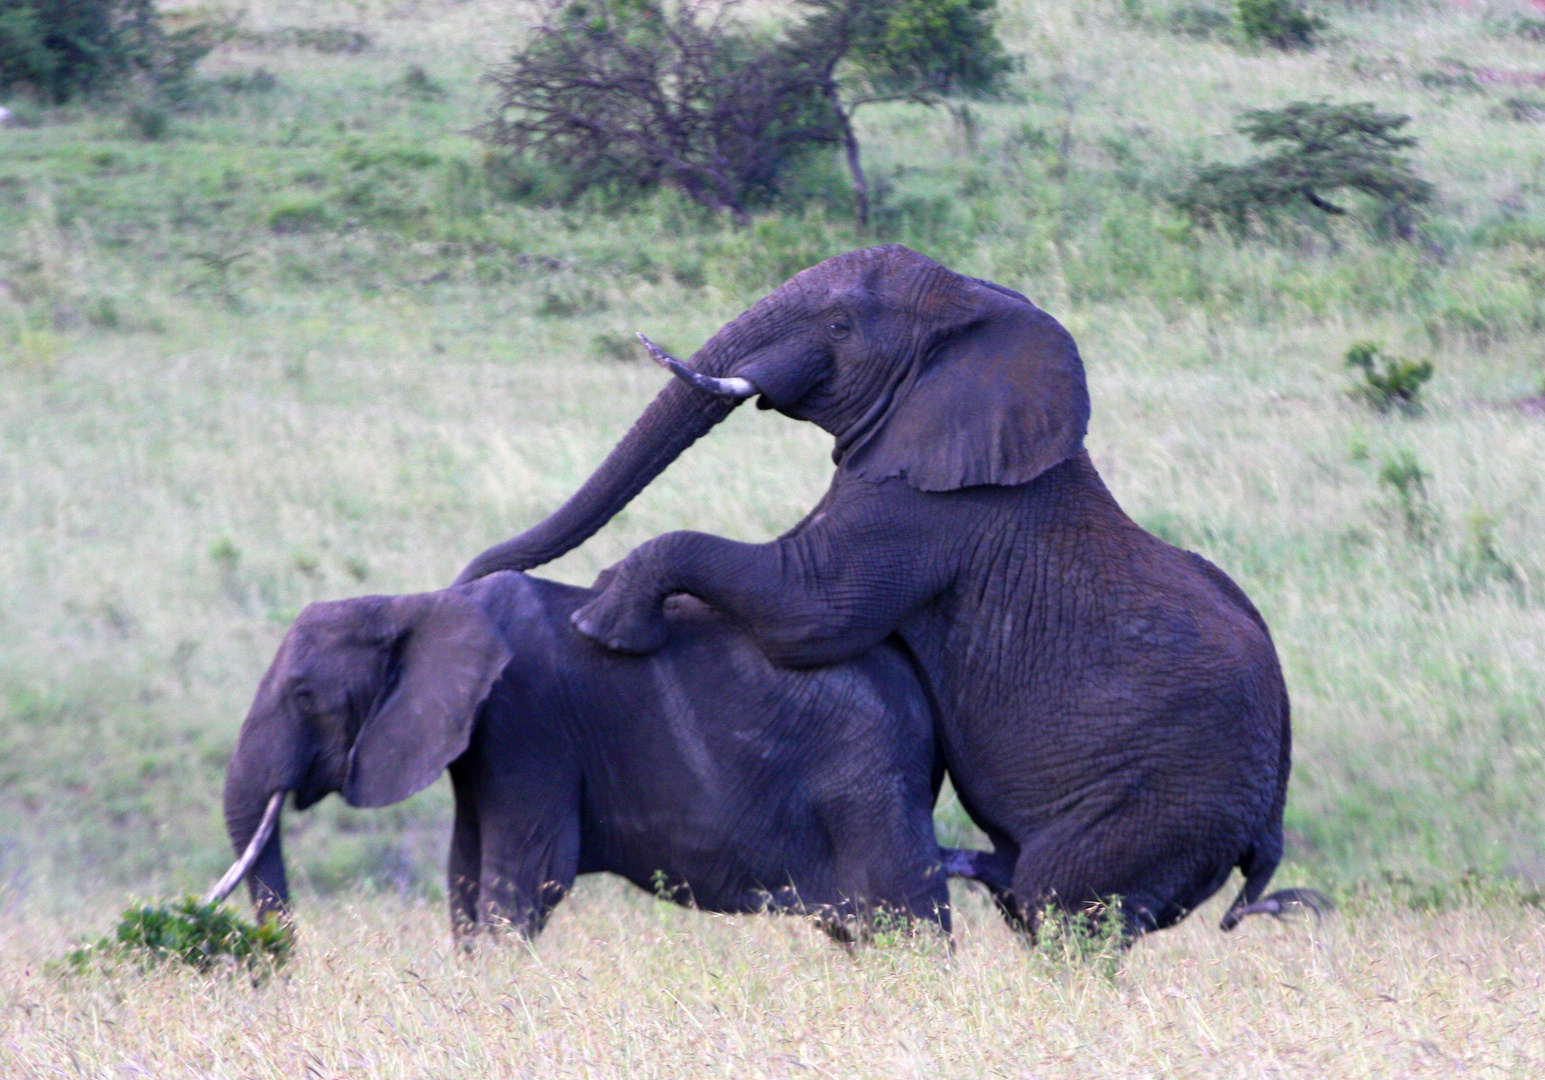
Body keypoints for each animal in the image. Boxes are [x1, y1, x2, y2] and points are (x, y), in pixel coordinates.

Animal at [219, 574, 970, 939]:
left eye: (304, 694)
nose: (287, 968)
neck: (419, 604)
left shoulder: (526, 726)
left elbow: (525, 883)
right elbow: (464, 880)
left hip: (868, 779)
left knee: (911, 919)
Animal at [457, 245, 1303, 939]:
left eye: (839, 323)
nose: (472, 577)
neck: (974, 316)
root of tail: (1268, 825)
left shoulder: (929, 511)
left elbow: (807, 612)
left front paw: (603, 622)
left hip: (1165, 800)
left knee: (1062, 909)